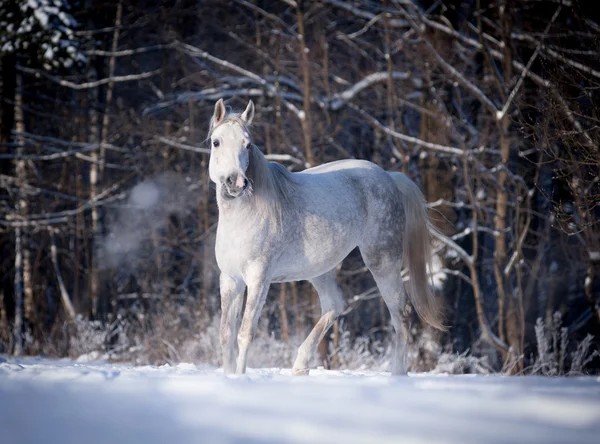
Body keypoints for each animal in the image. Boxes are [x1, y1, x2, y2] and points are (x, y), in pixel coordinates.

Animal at [209, 98, 442, 374]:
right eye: (216, 142)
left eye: (248, 144)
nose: (236, 182)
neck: (244, 216)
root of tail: (390, 177)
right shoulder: (230, 280)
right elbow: (226, 335)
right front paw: (229, 377)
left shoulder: (258, 279)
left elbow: (245, 333)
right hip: (319, 271)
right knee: (335, 305)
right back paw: (301, 365)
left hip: (382, 262)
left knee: (401, 314)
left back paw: (396, 374)